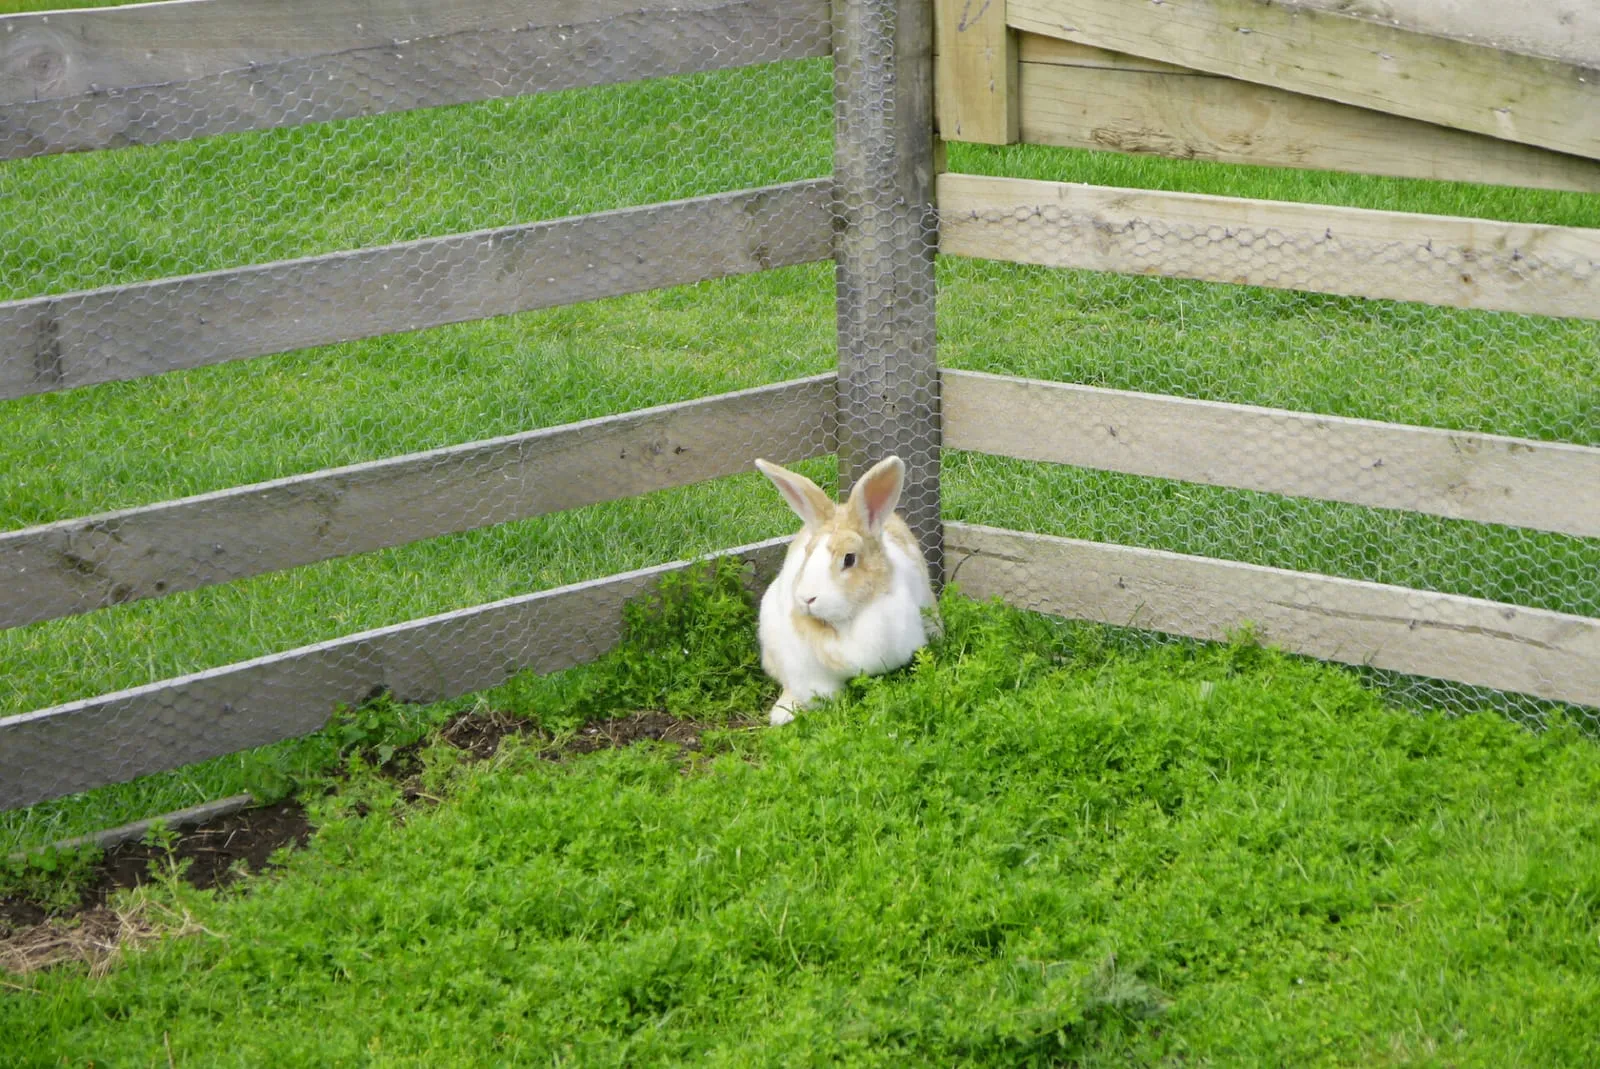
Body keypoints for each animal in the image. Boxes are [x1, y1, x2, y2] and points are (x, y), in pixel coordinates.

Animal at [752, 454, 939, 726]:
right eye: (808, 553)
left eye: (849, 559)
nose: (807, 598)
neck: (844, 623)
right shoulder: (803, 668)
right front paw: (783, 713)